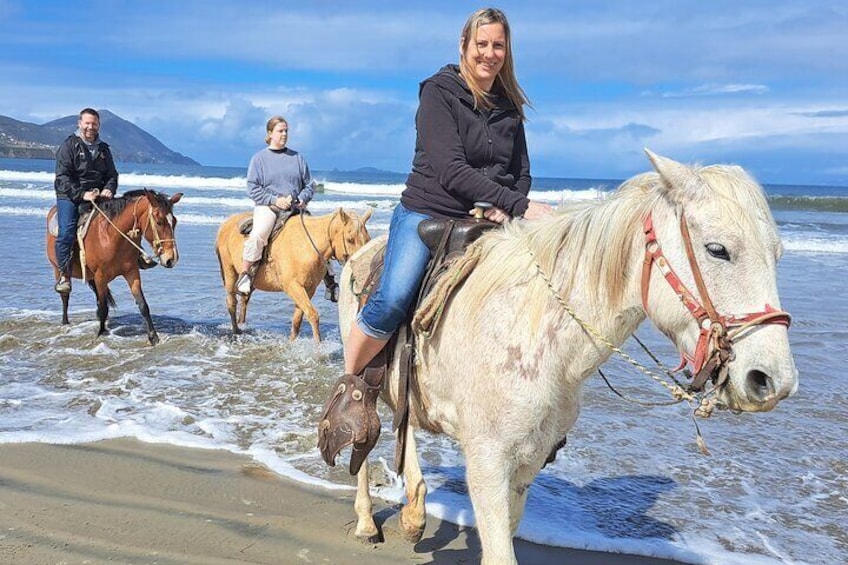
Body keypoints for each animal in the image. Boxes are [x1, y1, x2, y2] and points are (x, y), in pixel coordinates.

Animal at [45, 188, 183, 344]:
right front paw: (100, 334)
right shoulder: (100, 276)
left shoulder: (132, 273)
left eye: (174, 222)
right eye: (159, 222)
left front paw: (153, 337)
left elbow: (143, 305)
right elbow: (103, 308)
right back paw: (65, 322)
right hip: (58, 269)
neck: (111, 237)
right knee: (65, 296)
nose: (171, 259)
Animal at [215, 206, 372, 340]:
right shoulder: (293, 287)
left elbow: (297, 319)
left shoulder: (309, 289)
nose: (361, 270)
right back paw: (236, 331)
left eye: (368, 240)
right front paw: (318, 348)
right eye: (350, 239)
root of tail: (225, 224)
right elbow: (313, 315)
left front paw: (292, 343)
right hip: (229, 271)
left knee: (244, 300)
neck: (305, 246)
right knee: (232, 302)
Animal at [334, 150, 800, 564]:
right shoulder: (487, 459)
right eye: (717, 249)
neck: (536, 332)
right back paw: (367, 521)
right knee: (364, 429)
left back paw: (414, 512)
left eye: (777, 254)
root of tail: (362, 253)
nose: (771, 381)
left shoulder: (529, 460)